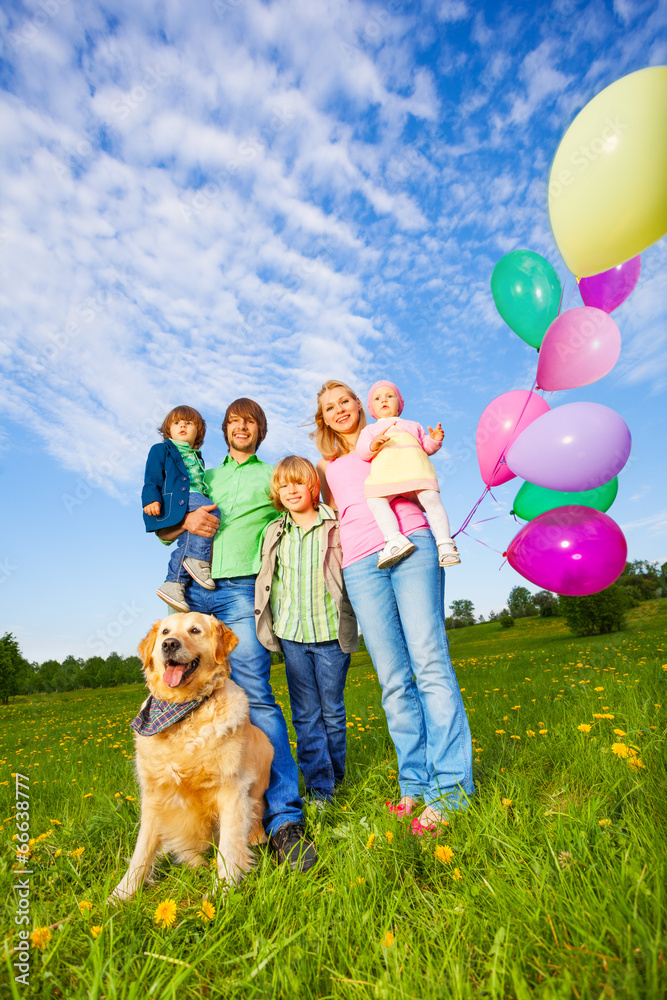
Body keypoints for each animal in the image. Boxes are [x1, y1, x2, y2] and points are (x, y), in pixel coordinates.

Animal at [109, 612, 274, 904]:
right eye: (165, 632)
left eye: (195, 630)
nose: (169, 645)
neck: (183, 713)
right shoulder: (154, 795)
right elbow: (142, 851)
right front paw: (121, 894)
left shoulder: (232, 790)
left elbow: (228, 849)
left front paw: (223, 891)